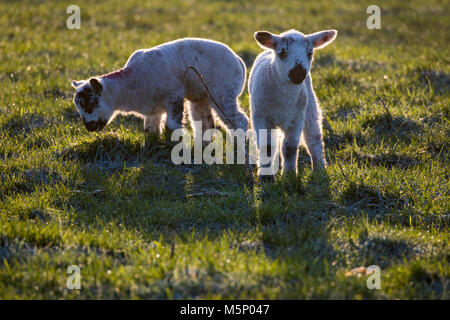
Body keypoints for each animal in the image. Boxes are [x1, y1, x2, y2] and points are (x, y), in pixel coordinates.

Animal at [69, 37, 250, 138]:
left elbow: (172, 126)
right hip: (201, 96)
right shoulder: (152, 108)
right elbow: (150, 130)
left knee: (239, 120)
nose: (89, 128)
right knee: (205, 124)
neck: (132, 82)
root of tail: (239, 61)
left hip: (223, 92)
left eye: (91, 104)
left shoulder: (174, 95)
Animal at [250, 28, 338, 180]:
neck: (284, 100)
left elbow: (290, 147)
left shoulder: (296, 118)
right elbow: (267, 147)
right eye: (282, 52)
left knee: (314, 139)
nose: (298, 73)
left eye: (310, 53)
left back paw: (320, 169)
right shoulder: (261, 116)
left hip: (310, 108)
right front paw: (266, 177)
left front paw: (289, 175)